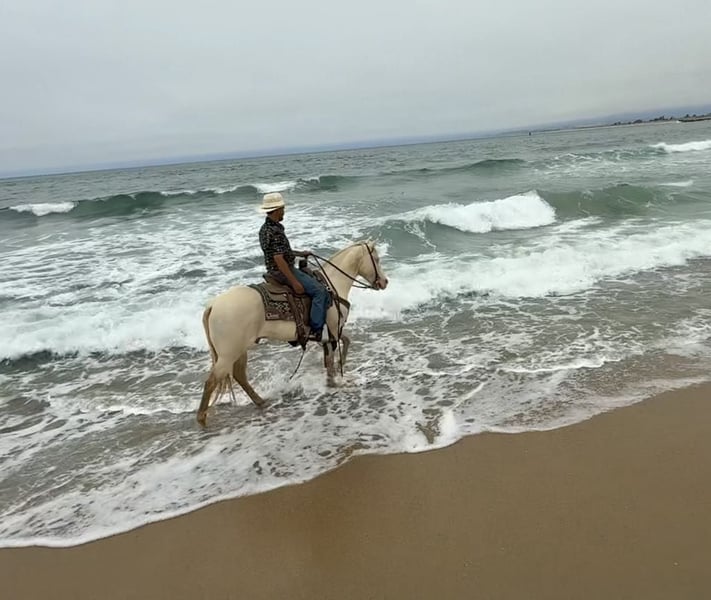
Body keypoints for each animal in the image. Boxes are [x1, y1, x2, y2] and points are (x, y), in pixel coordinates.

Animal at [196, 241, 389, 425]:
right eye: (377, 259)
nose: (385, 282)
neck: (332, 284)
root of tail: (212, 305)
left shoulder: (329, 333)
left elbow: (345, 343)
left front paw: (338, 370)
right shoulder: (333, 330)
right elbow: (332, 360)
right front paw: (335, 381)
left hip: (240, 350)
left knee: (239, 375)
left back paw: (260, 402)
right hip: (228, 354)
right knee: (211, 382)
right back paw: (202, 419)